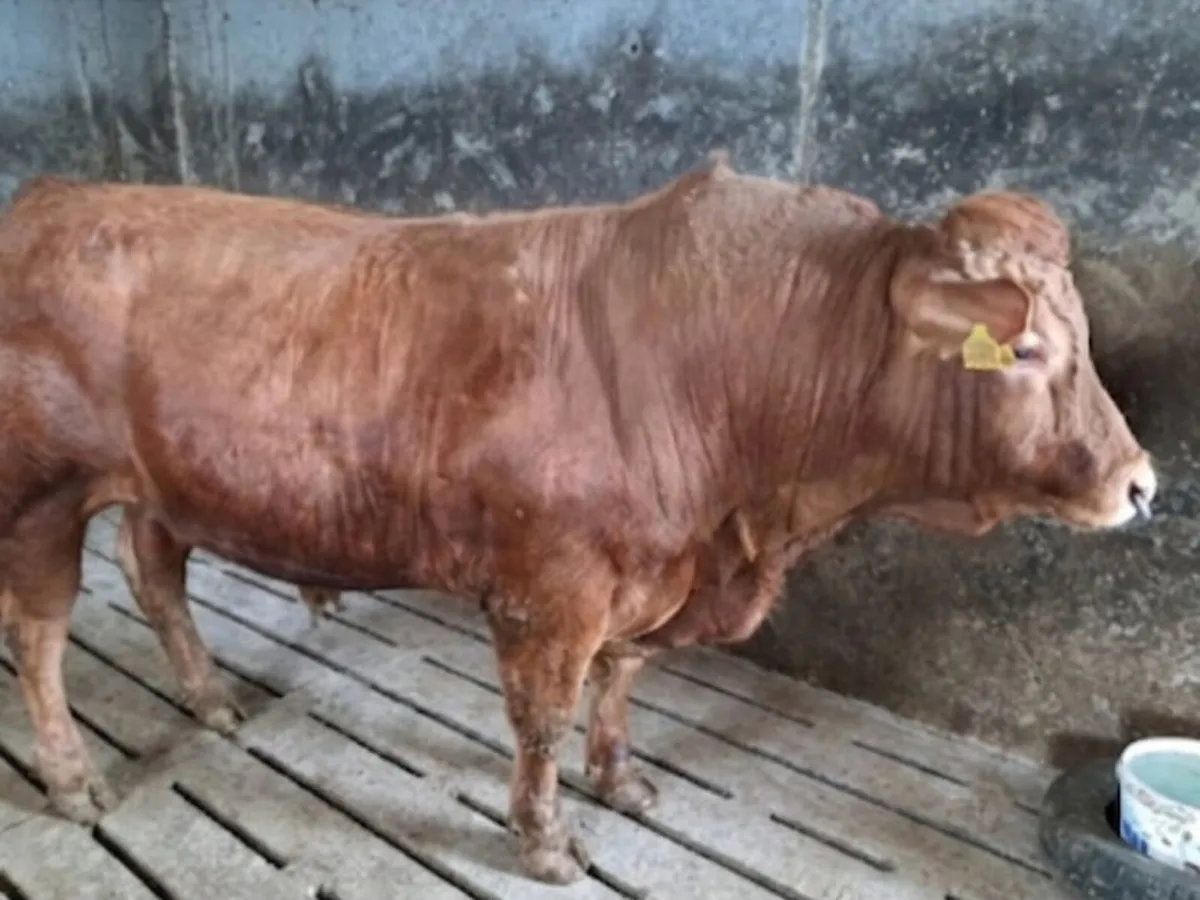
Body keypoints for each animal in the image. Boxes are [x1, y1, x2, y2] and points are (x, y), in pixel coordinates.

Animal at [0, 155, 1155, 885]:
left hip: (160, 485)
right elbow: (543, 718)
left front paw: (621, 778)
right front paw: (545, 838)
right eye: (1030, 349)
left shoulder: (650, 574)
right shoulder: (551, 591)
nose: (1143, 483)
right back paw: (71, 776)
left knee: (156, 576)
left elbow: (623, 678)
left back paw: (209, 701)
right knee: (40, 635)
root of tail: (53, 195)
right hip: (41, 495)